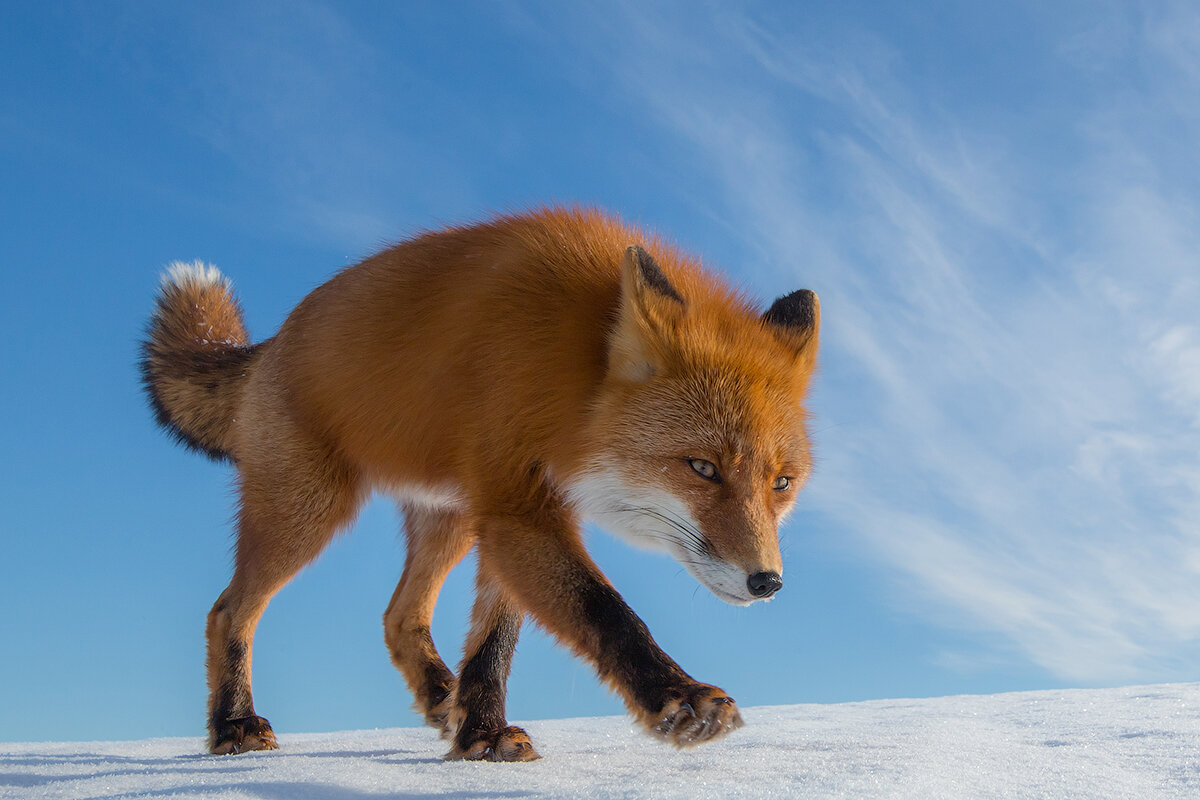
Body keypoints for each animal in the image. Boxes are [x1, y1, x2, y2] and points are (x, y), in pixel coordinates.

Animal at [138, 208, 816, 762]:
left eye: (781, 483)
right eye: (703, 468)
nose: (767, 582)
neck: (569, 370)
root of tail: (273, 342)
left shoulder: (513, 507)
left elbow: (496, 641)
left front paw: (481, 733)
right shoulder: (518, 506)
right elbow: (606, 610)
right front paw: (680, 699)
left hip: (452, 517)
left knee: (399, 617)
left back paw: (446, 697)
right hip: (309, 510)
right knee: (230, 611)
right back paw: (233, 725)